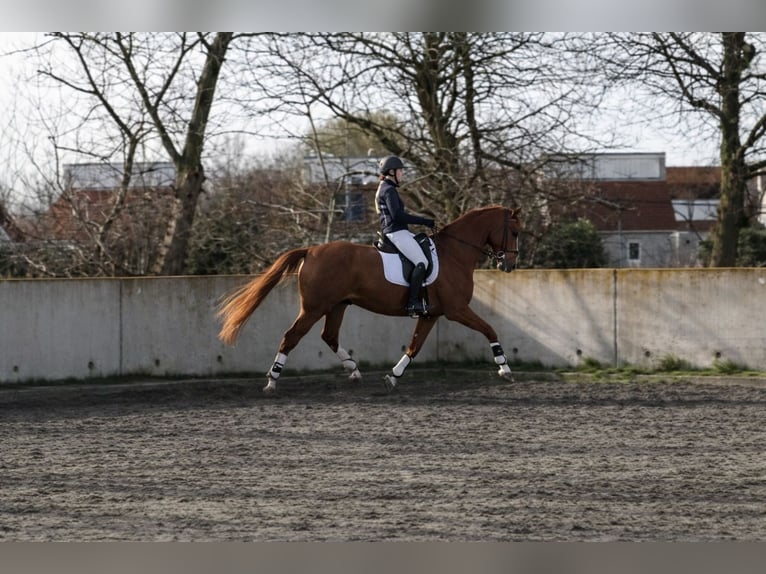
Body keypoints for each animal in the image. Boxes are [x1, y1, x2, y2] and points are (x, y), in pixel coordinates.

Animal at [217, 205, 522, 393]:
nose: (509, 265)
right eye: (516, 232)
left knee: (329, 336)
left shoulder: (431, 314)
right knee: (291, 336)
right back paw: (272, 381)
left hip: (337, 306)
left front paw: (393, 377)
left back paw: (354, 371)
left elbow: (414, 347)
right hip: (314, 307)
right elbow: (489, 329)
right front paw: (505, 368)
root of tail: (311, 251)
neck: (454, 254)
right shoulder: (456, 309)